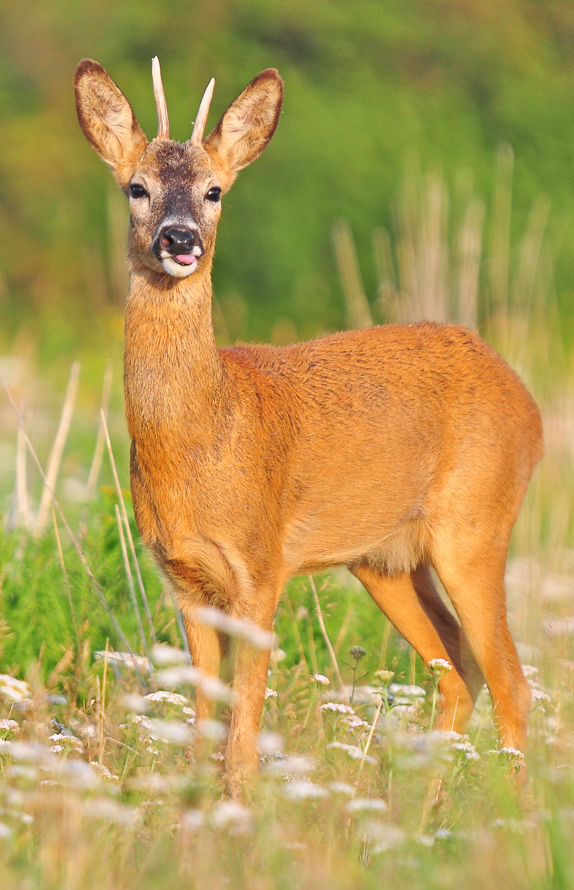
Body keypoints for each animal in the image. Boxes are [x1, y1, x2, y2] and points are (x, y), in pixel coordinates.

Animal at [75, 55, 544, 792]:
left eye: (214, 191)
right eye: (137, 188)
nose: (180, 240)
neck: (204, 433)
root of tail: (527, 402)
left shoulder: (261, 564)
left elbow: (242, 733)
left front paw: (241, 805)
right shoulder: (184, 578)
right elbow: (203, 727)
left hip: (477, 524)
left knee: (511, 681)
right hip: (385, 560)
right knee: (459, 669)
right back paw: (425, 804)